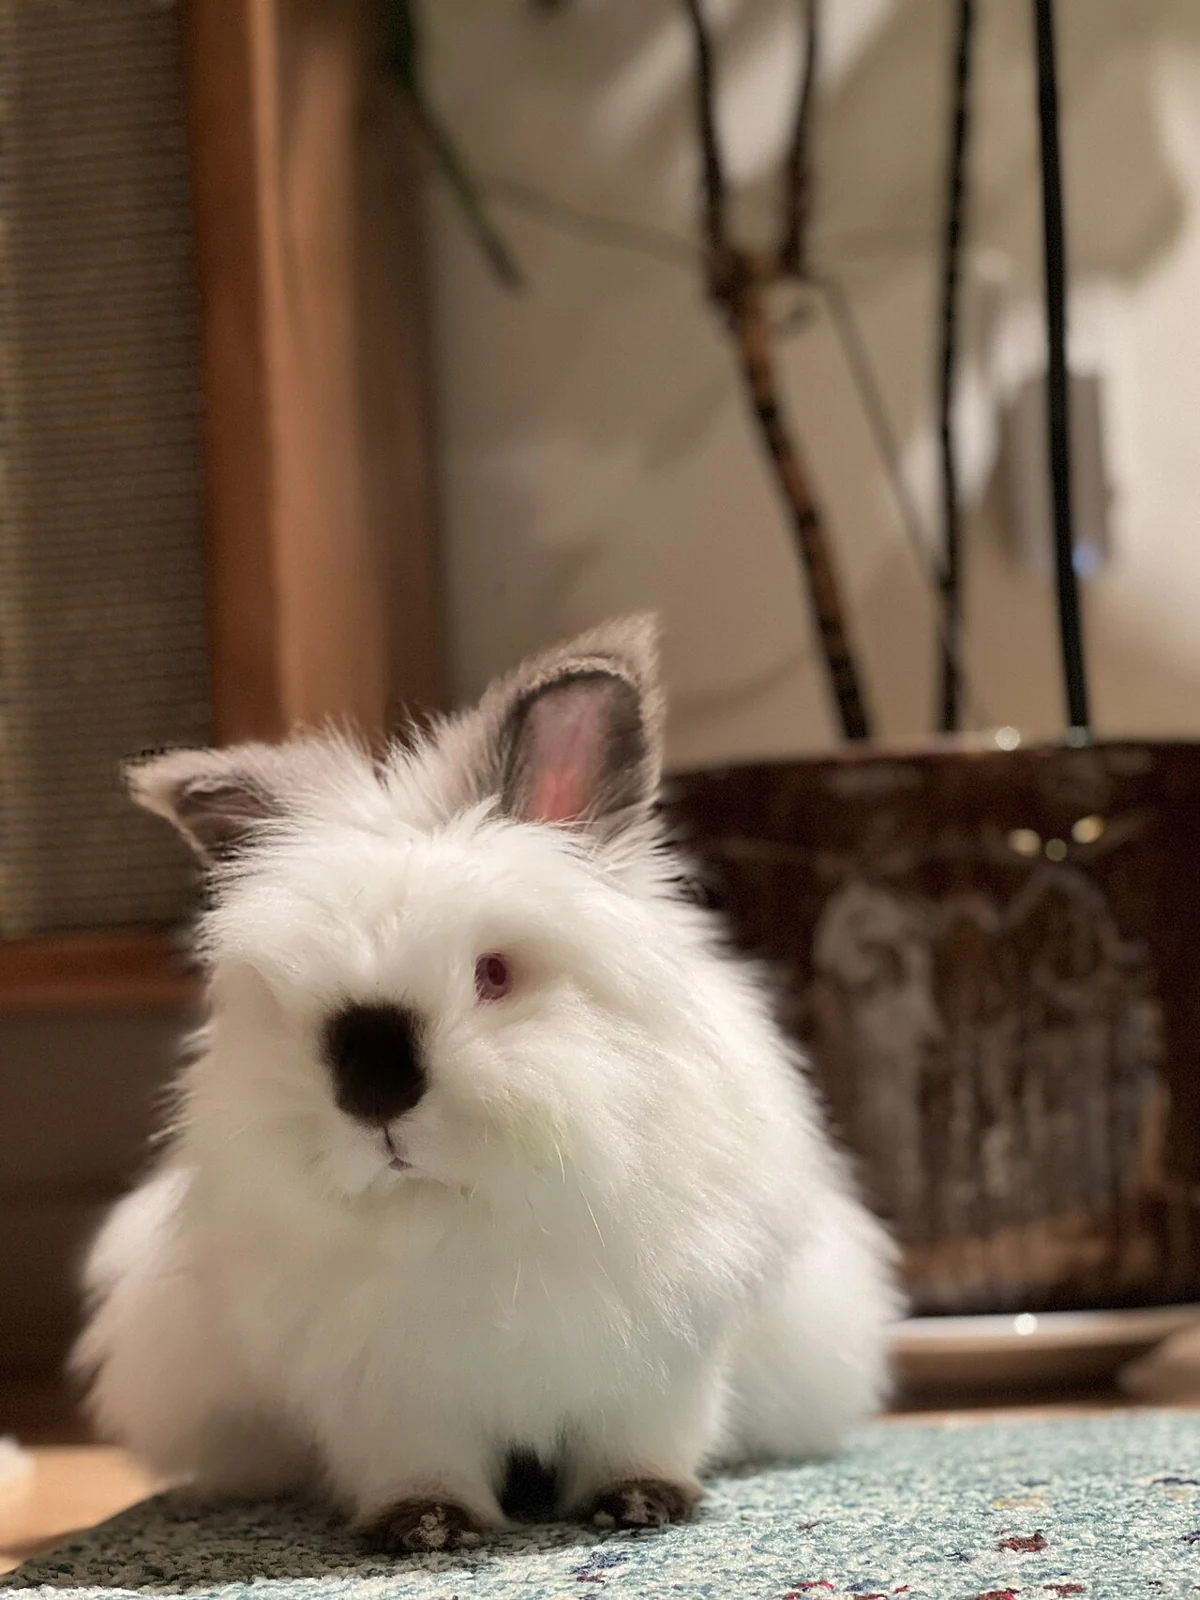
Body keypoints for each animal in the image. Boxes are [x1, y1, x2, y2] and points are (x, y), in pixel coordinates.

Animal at [74, 617, 900, 1553]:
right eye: (295, 998)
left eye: (495, 974)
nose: (374, 1094)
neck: (458, 1209)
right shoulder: (385, 1392)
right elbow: (418, 1464)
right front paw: (428, 1529)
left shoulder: (659, 1365)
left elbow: (638, 1440)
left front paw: (639, 1506)